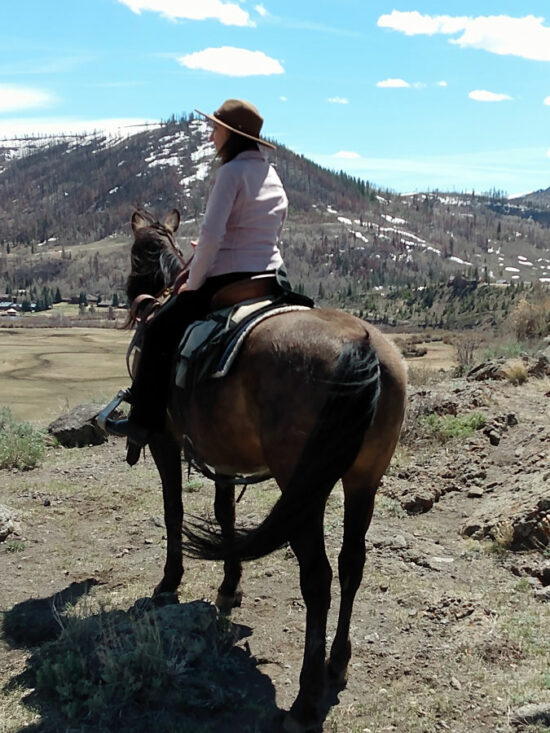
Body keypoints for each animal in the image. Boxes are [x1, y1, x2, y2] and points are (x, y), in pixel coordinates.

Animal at [125, 209, 410, 728]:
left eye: (138, 254)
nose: (136, 300)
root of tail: (362, 348)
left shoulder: (164, 441)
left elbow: (174, 510)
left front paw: (169, 582)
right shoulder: (222, 453)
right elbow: (225, 515)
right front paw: (229, 587)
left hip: (303, 488)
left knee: (317, 578)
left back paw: (306, 698)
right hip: (364, 480)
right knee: (352, 564)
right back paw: (338, 663)